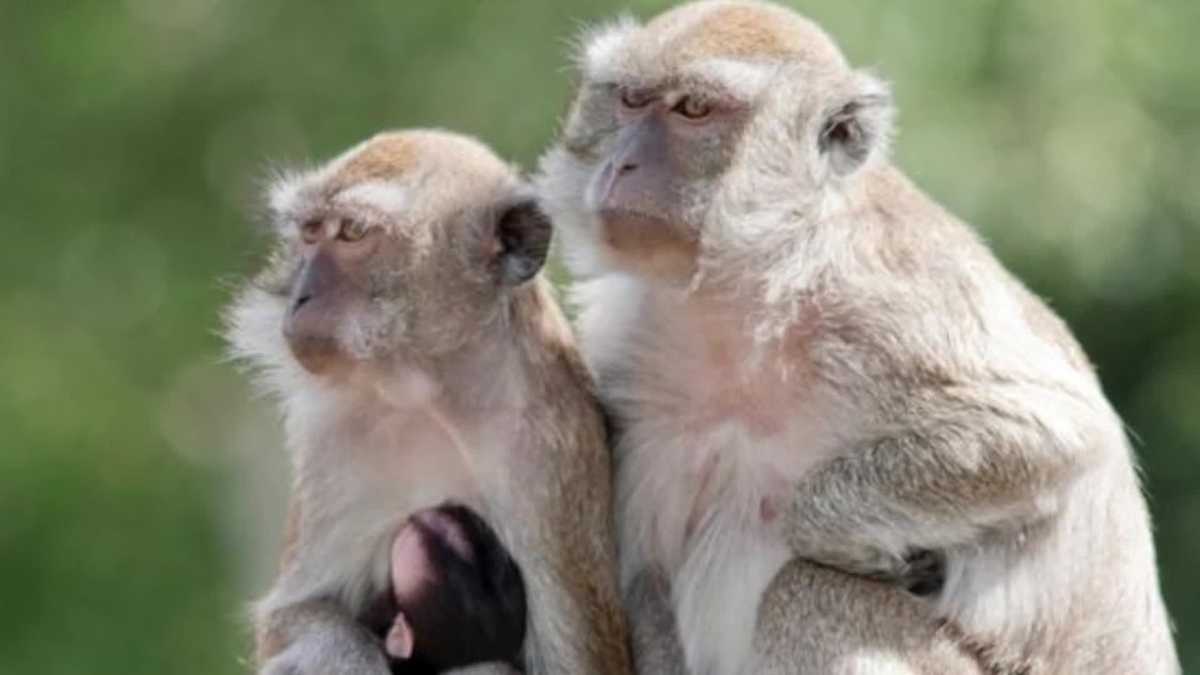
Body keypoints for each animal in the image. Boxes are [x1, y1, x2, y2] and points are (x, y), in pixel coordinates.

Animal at [224, 129, 632, 675]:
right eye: (310, 233)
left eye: (352, 232)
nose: (300, 297)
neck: (431, 394)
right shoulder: (332, 437)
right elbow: (292, 615)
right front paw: (349, 657)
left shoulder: (550, 461)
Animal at [535, 2, 1180, 673]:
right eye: (631, 100)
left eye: (693, 109)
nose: (622, 164)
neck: (747, 296)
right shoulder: (631, 362)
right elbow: (646, 582)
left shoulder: (889, 303)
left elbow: (1050, 432)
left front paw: (838, 536)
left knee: (807, 592)